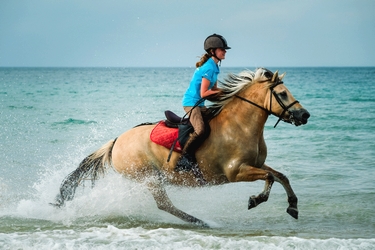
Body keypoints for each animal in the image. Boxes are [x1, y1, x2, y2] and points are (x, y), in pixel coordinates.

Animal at [52, 67, 312, 228]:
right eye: (282, 94)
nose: (305, 115)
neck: (240, 125)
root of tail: (116, 142)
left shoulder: (255, 164)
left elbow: (281, 176)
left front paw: (293, 206)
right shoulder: (236, 171)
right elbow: (269, 177)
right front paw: (255, 200)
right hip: (148, 177)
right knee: (164, 205)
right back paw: (201, 222)